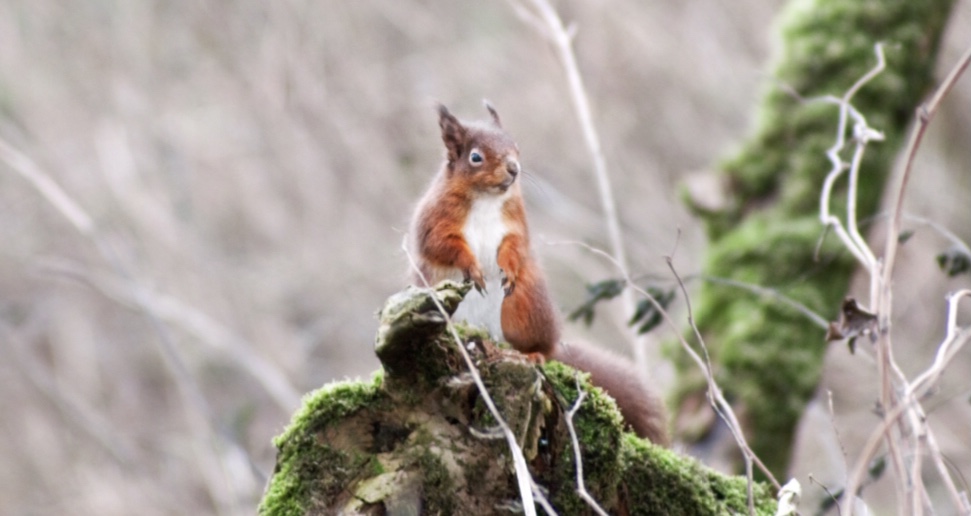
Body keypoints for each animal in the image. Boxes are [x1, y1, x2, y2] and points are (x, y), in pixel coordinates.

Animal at [408, 103, 668, 445]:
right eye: (475, 157)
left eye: (516, 146)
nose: (514, 169)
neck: (486, 199)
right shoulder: (435, 221)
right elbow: (442, 245)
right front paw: (473, 268)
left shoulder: (515, 225)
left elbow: (515, 247)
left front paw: (507, 269)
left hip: (526, 309)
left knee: (542, 347)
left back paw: (534, 356)